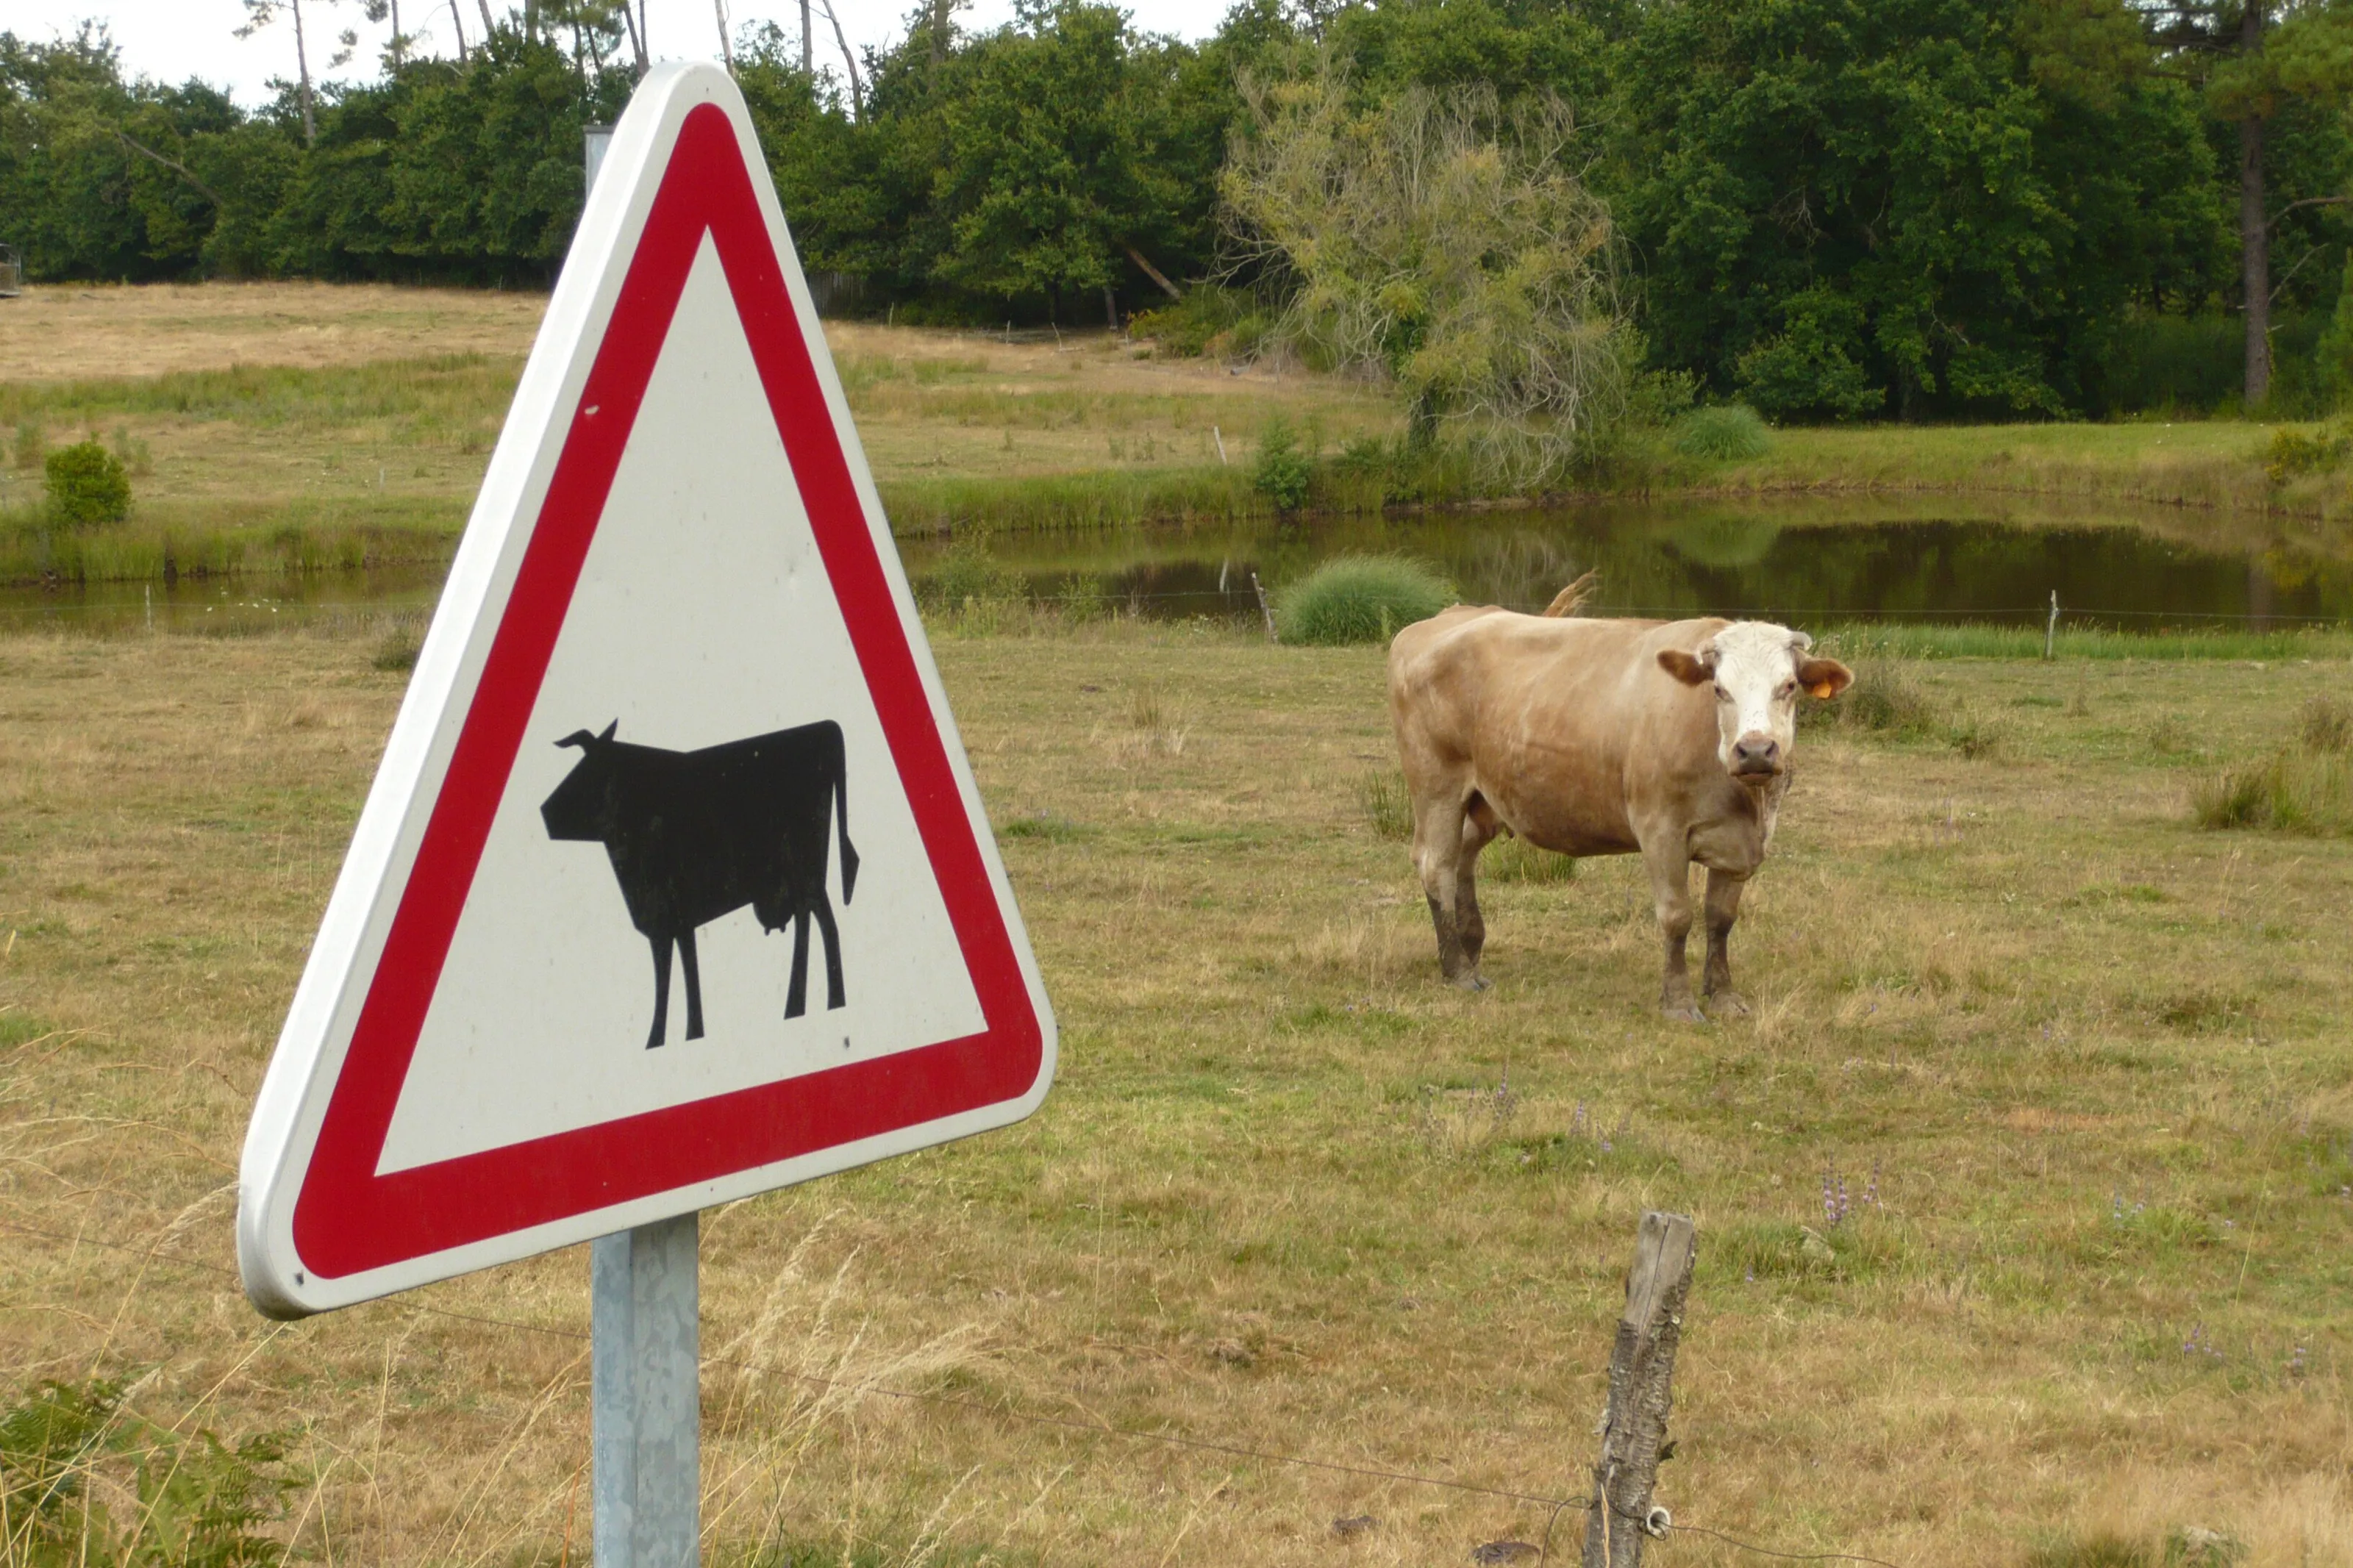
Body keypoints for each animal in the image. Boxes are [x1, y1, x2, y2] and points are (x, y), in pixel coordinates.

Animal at [540, 719, 860, 1048]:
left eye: (586, 776)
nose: (544, 813)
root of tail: (825, 727)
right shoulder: (661, 926)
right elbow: (666, 975)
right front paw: (659, 1040)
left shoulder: (681, 918)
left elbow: (687, 971)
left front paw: (689, 1034)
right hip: (799, 879)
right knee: (809, 922)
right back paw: (803, 1006)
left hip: (807, 871)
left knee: (821, 923)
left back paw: (823, 1002)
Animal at [1387, 602, 1851, 1021]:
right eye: (1719, 689)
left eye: (1788, 686)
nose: (1755, 750)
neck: (1744, 801)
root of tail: (1446, 616)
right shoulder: (1660, 829)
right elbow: (1677, 916)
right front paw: (1679, 1002)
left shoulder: (1738, 845)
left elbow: (1721, 919)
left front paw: (1723, 996)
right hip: (1437, 786)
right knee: (1437, 866)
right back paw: (1458, 970)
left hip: (1483, 797)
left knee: (1463, 857)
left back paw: (1471, 947)